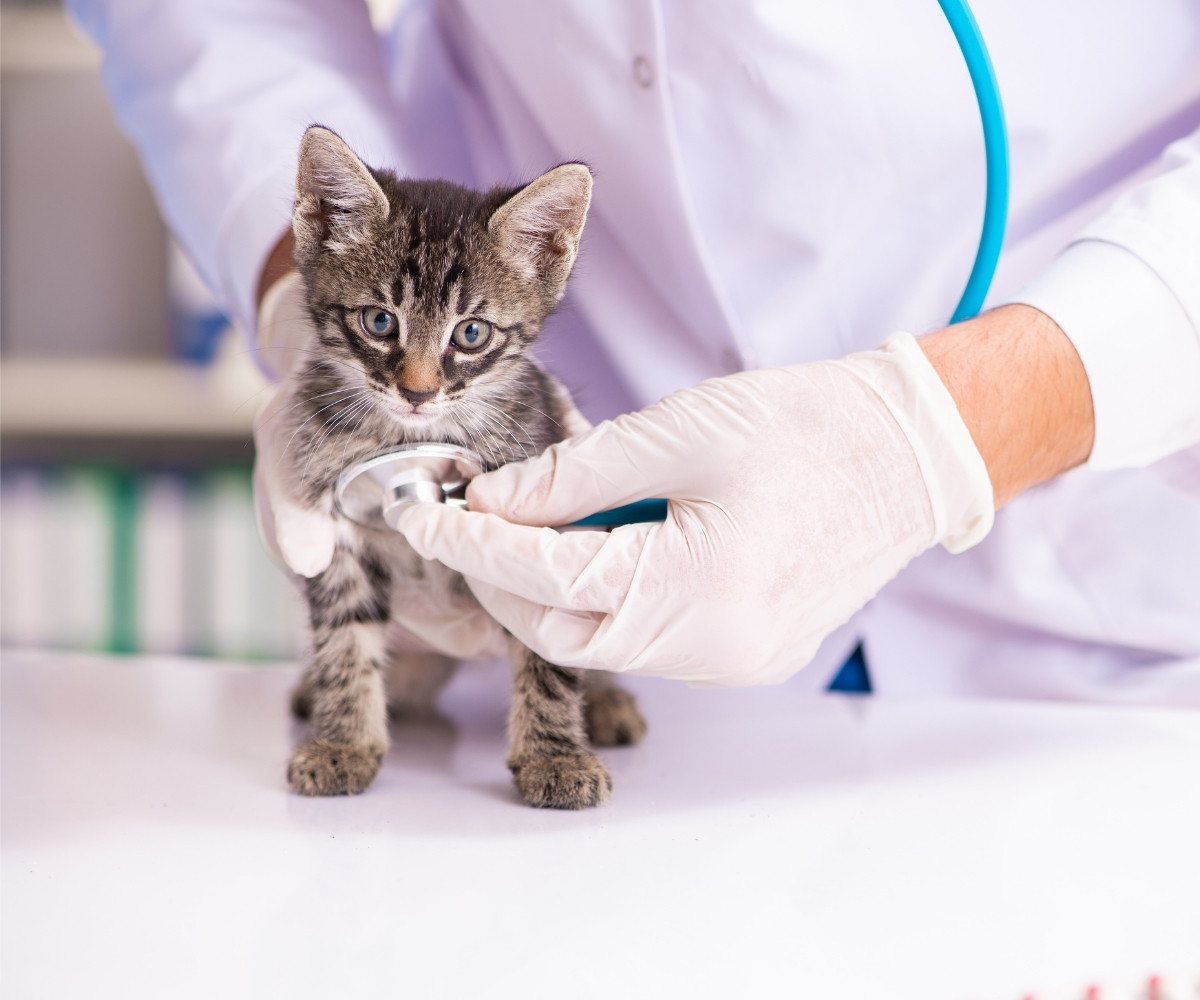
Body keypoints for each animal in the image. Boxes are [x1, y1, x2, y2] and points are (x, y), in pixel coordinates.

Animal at [273, 126, 648, 811]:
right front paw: (344, 741)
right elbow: (345, 637)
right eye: (380, 321)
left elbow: (551, 651)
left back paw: (606, 702)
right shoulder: (331, 530)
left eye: (470, 333)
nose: (418, 391)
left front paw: (554, 757)